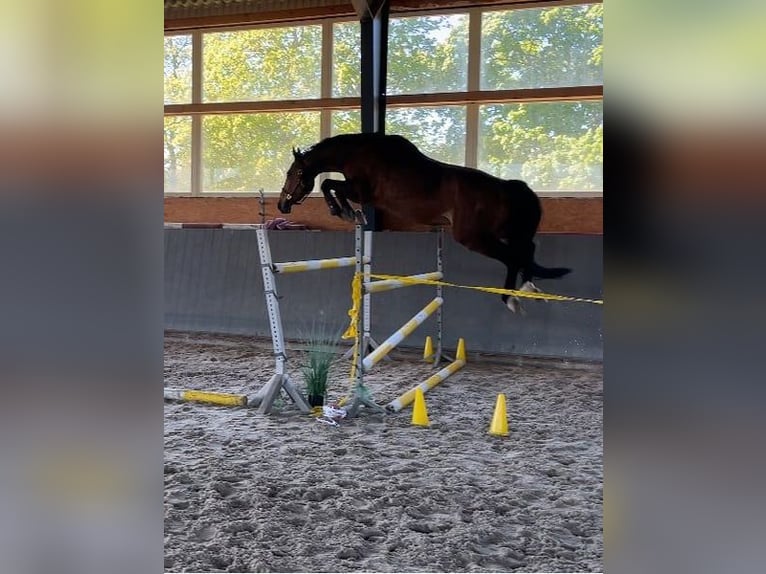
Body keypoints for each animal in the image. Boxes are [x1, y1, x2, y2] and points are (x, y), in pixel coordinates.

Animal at [277, 132, 571, 313]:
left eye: (292, 173)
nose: (282, 204)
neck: (358, 153)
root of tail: (508, 188)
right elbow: (331, 185)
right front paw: (347, 213)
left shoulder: (361, 192)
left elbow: (329, 184)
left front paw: (343, 212)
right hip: (504, 232)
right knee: (527, 250)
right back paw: (529, 288)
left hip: (473, 237)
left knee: (513, 257)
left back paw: (511, 299)